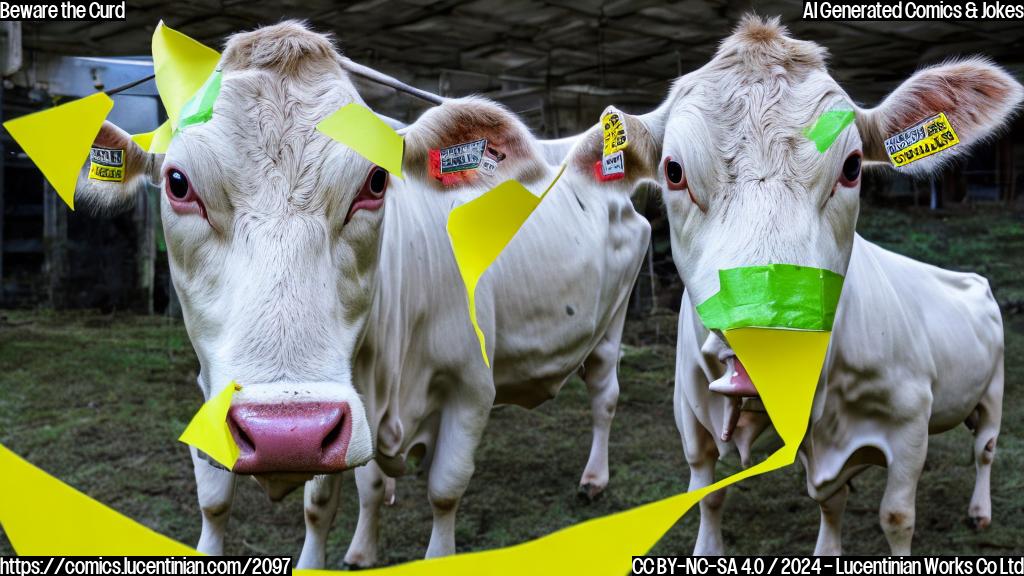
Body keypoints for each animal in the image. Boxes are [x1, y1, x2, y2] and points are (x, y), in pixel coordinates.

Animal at [75, 21, 659, 565]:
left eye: (376, 181)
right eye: (177, 183)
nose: (286, 435)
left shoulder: (471, 389)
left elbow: (444, 493)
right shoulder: (231, 392)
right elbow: (256, 502)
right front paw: (357, 549)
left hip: (611, 326)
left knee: (605, 397)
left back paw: (594, 479)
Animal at [630, 16, 1015, 553]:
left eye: (852, 167)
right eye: (673, 171)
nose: (767, 337)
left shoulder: (909, 422)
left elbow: (897, 517)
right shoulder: (691, 416)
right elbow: (715, 497)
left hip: (994, 388)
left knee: (986, 447)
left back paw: (980, 510)